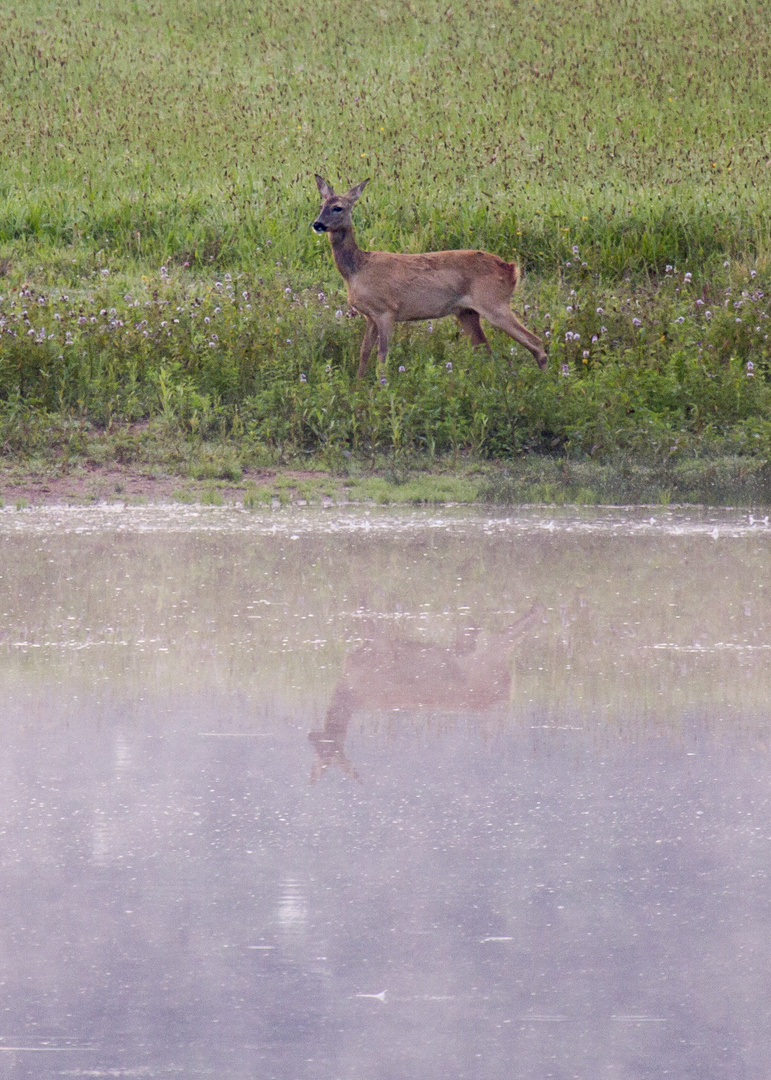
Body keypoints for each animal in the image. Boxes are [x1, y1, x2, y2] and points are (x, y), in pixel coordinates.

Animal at [308, 173, 544, 380]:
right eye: (321, 206)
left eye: (338, 207)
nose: (317, 224)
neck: (357, 269)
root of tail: (512, 269)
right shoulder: (370, 316)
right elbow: (364, 352)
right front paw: (358, 385)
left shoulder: (386, 310)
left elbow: (382, 354)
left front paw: (382, 387)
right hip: (467, 312)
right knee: (484, 348)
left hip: (494, 303)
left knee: (536, 342)